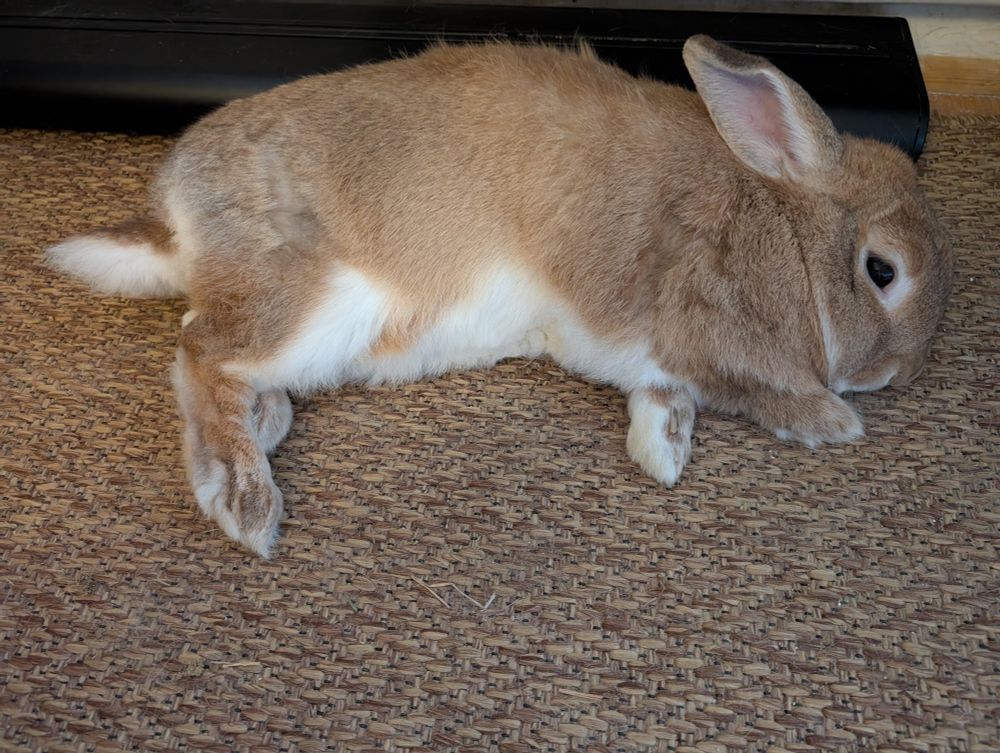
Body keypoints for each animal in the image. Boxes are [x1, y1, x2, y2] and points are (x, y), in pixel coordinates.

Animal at [46, 36, 952, 558]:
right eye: (882, 271)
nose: (900, 375)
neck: (783, 224)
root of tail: (175, 215)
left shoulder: (656, 355)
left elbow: (662, 395)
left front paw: (661, 449)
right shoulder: (703, 329)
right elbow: (752, 387)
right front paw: (832, 423)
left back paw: (265, 426)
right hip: (314, 300)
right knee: (201, 348)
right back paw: (241, 495)